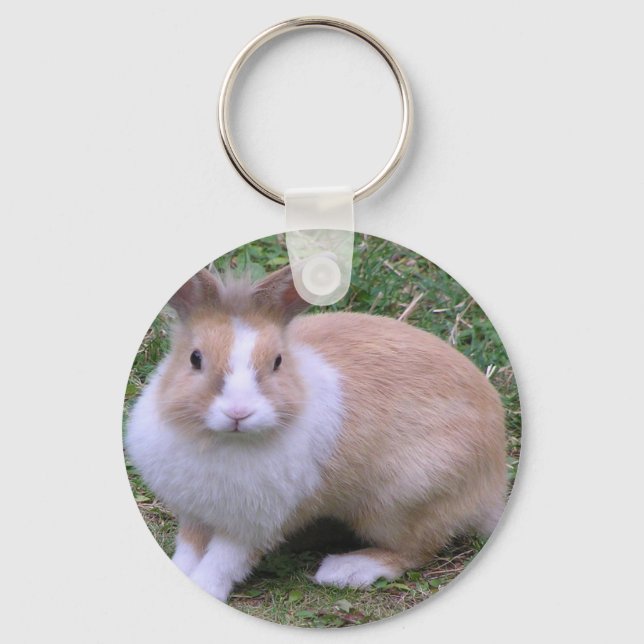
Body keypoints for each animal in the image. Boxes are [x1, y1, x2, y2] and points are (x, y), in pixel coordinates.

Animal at [125, 264, 507, 602]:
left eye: (278, 362)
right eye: (195, 358)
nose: (238, 412)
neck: (221, 440)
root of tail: (492, 483)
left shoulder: (254, 525)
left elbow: (223, 561)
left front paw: (204, 589)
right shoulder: (195, 514)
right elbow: (189, 550)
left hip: (400, 504)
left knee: (416, 551)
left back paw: (346, 569)